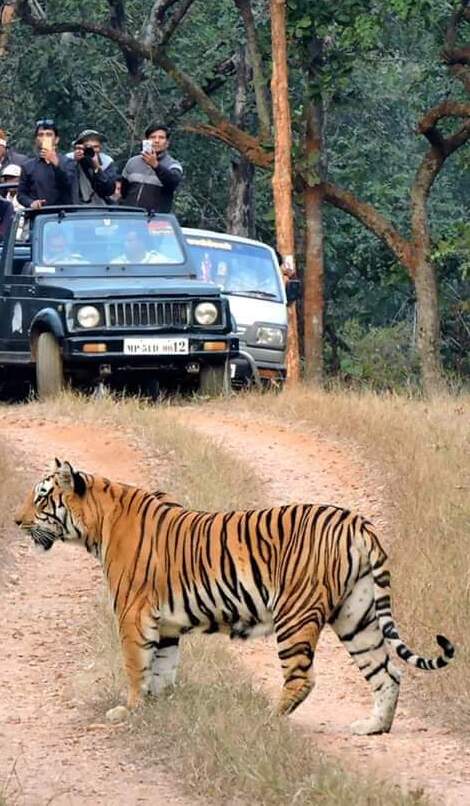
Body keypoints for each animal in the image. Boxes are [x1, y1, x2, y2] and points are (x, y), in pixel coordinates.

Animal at [15, 460, 456, 740]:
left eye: (41, 499)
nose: (16, 522)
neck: (96, 524)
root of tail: (358, 522)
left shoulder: (133, 614)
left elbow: (136, 666)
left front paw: (130, 710)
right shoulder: (166, 624)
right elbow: (162, 669)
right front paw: (158, 708)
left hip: (295, 614)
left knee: (302, 677)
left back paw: (267, 719)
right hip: (356, 615)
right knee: (387, 672)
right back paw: (373, 727)